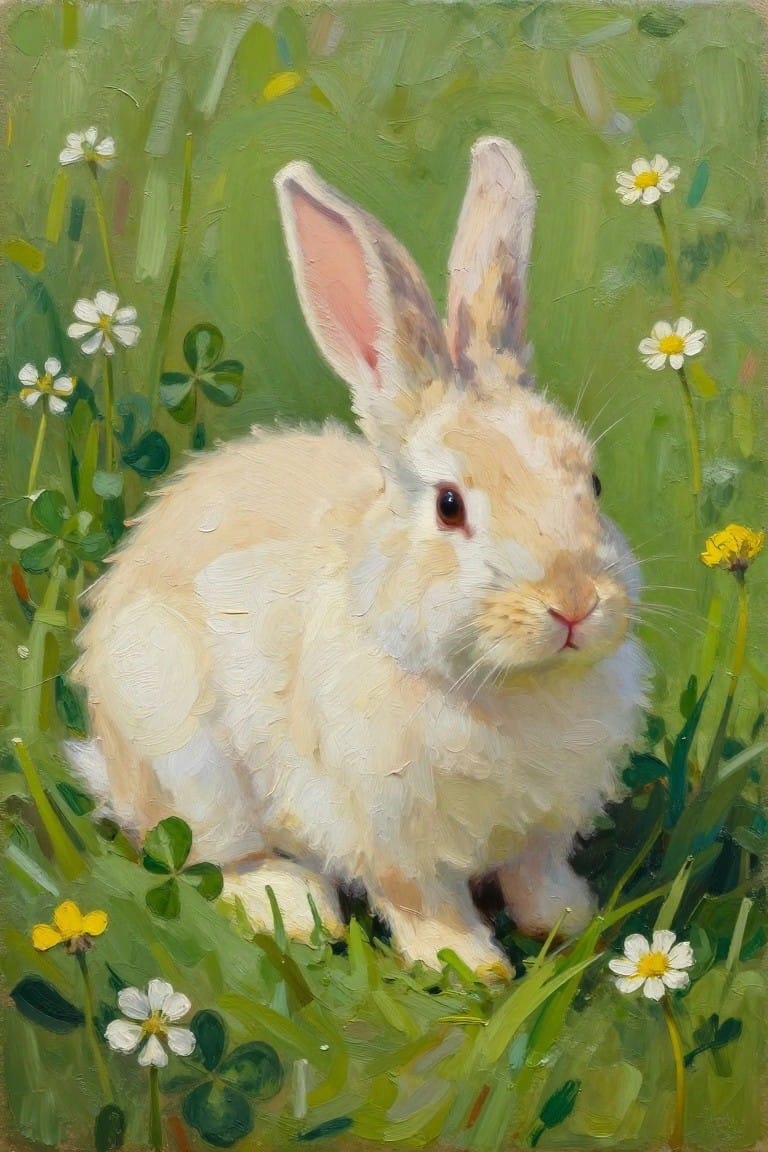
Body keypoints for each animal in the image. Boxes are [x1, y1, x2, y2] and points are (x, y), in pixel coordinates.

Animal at [66, 137, 650, 977]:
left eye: (593, 483)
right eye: (449, 506)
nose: (573, 603)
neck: (497, 688)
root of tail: (106, 764)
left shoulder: (541, 830)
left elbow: (535, 870)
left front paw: (567, 918)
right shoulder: (387, 831)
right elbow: (421, 899)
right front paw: (468, 965)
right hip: (183, 751)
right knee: (210, 854)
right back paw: (291, 904)